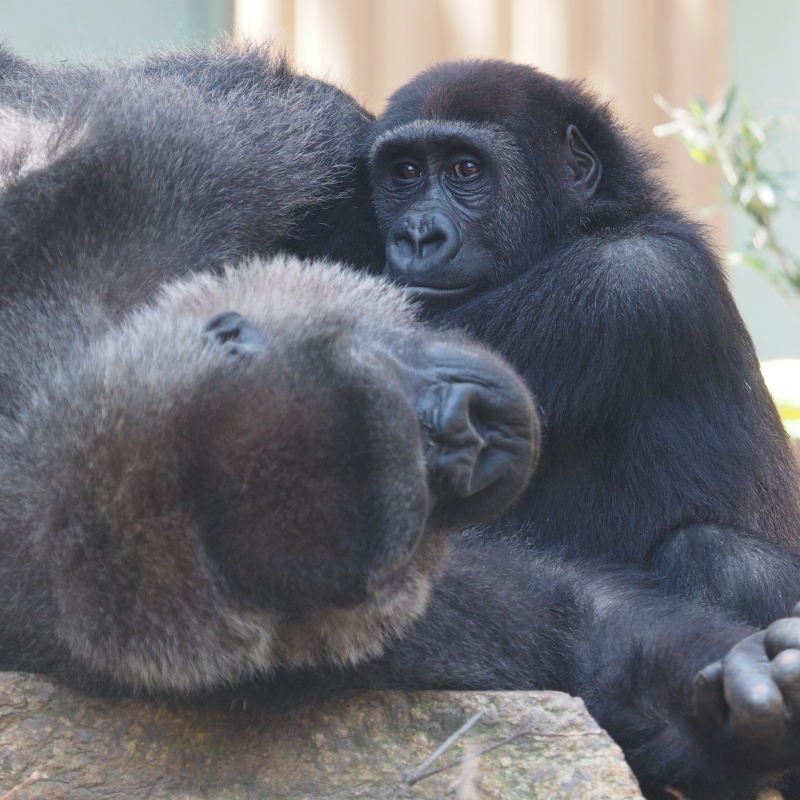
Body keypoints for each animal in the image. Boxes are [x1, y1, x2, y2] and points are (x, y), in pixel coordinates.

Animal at [360, 59, 800, 628]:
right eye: (407, 173)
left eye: (466, 170)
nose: (417, 236)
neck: (590, 223)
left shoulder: (625, 283)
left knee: (718, 558)